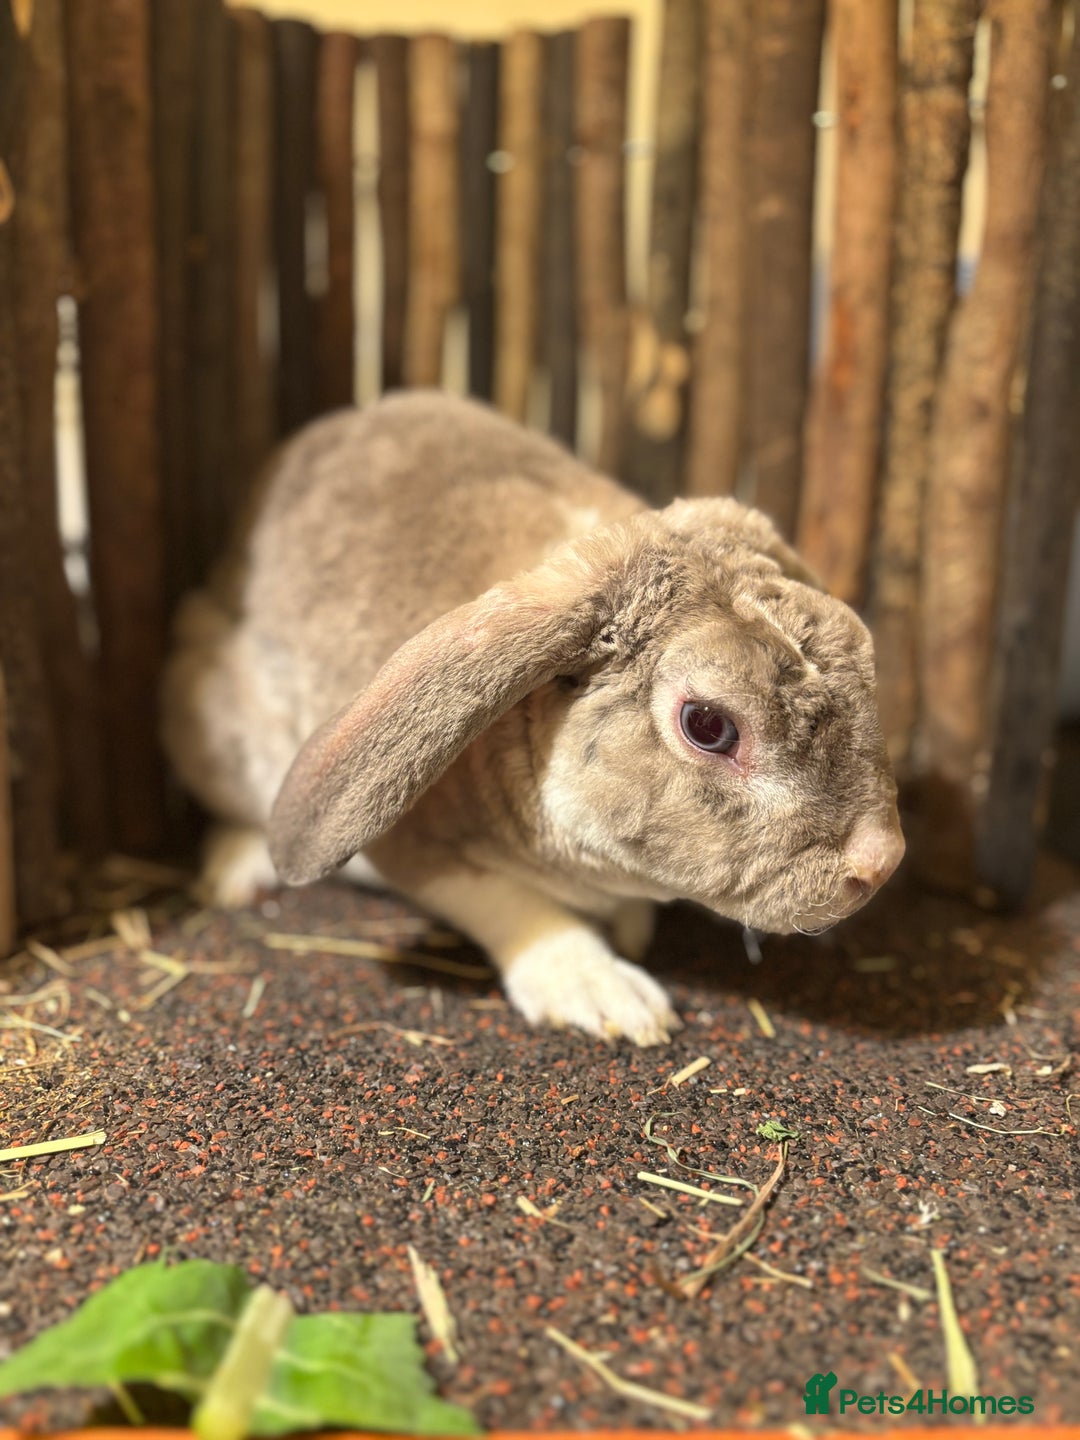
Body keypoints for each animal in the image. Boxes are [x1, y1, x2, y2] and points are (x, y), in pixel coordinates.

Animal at [162, 390, 904, 1045]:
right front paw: (607, 996)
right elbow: (506, 900)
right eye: (707, 725)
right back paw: (236, 868)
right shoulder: (410, 843)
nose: (881, 862)